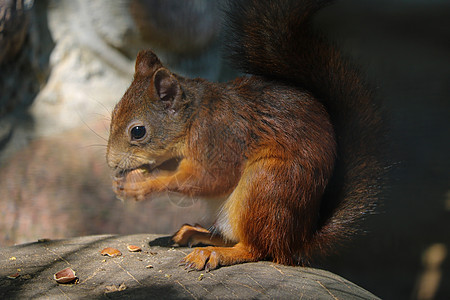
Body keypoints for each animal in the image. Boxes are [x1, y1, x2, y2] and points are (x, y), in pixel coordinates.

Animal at [105, 0, 384, 272]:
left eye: (138, 131)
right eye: (114, 113)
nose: (111, 163)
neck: (193, 118)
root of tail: (298, 242)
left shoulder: (219, 135)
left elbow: (211, 178)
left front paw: (141, 184)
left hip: (266, 184)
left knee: (258, 248)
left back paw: (214, 252)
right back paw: (197, 233)